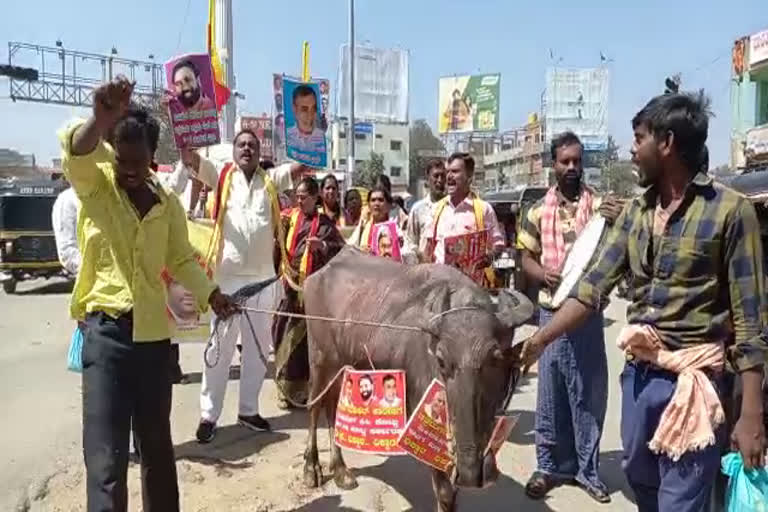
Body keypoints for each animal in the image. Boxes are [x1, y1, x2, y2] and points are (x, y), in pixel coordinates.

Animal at [300, 246, 536, 510]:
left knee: (332, 403)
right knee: (314, 405)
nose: (470, 473)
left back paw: (341, 470)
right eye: (442, 360)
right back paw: (311, 468)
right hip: (319, 358)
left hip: (343, 364)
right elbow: (444, 491)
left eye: (495, 358)